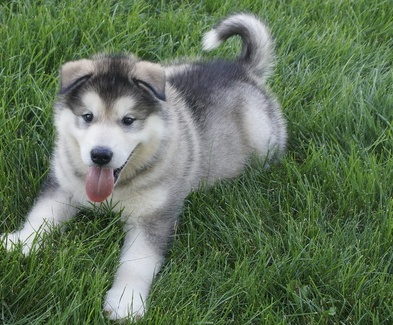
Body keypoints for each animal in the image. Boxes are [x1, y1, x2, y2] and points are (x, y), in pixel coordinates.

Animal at [1, 13, 286, 320]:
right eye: (87, 116)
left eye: (128, 120)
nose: (100, 155)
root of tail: (240, 68)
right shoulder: (63, 184)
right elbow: (41, 215)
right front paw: (19, 243)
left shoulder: (154, 215)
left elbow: (137, 260)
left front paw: (125, 302)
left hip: (264, 141)